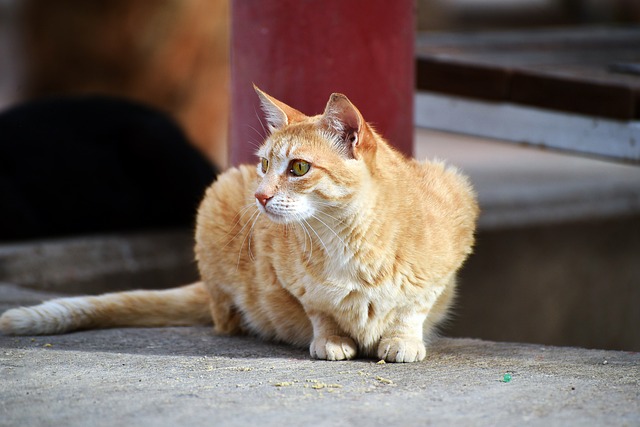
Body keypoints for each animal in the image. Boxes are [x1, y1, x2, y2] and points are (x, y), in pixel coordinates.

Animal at [0, 88, 478, 362]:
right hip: (217, 200)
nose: (260, 196)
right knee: (222, 315)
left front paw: (403, 339)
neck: (345, 238)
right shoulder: (293, 282)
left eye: (299, 167)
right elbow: (319, 310)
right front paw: (330, 337)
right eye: (264, 164)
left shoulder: (455, 210)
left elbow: (412, 308)